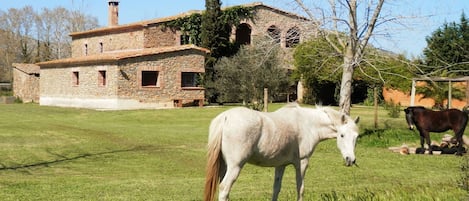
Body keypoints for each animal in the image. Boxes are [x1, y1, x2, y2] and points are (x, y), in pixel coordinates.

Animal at [203, 103, 360, 201]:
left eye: (356, 137)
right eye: (342, 135)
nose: (350, 159)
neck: (308, 124)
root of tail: (225, 117)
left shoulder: (280, 165)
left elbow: (276, 188)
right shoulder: (302, 163)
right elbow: (300, 188)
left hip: (223, 166)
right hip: (235, 167)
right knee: (224, 188)